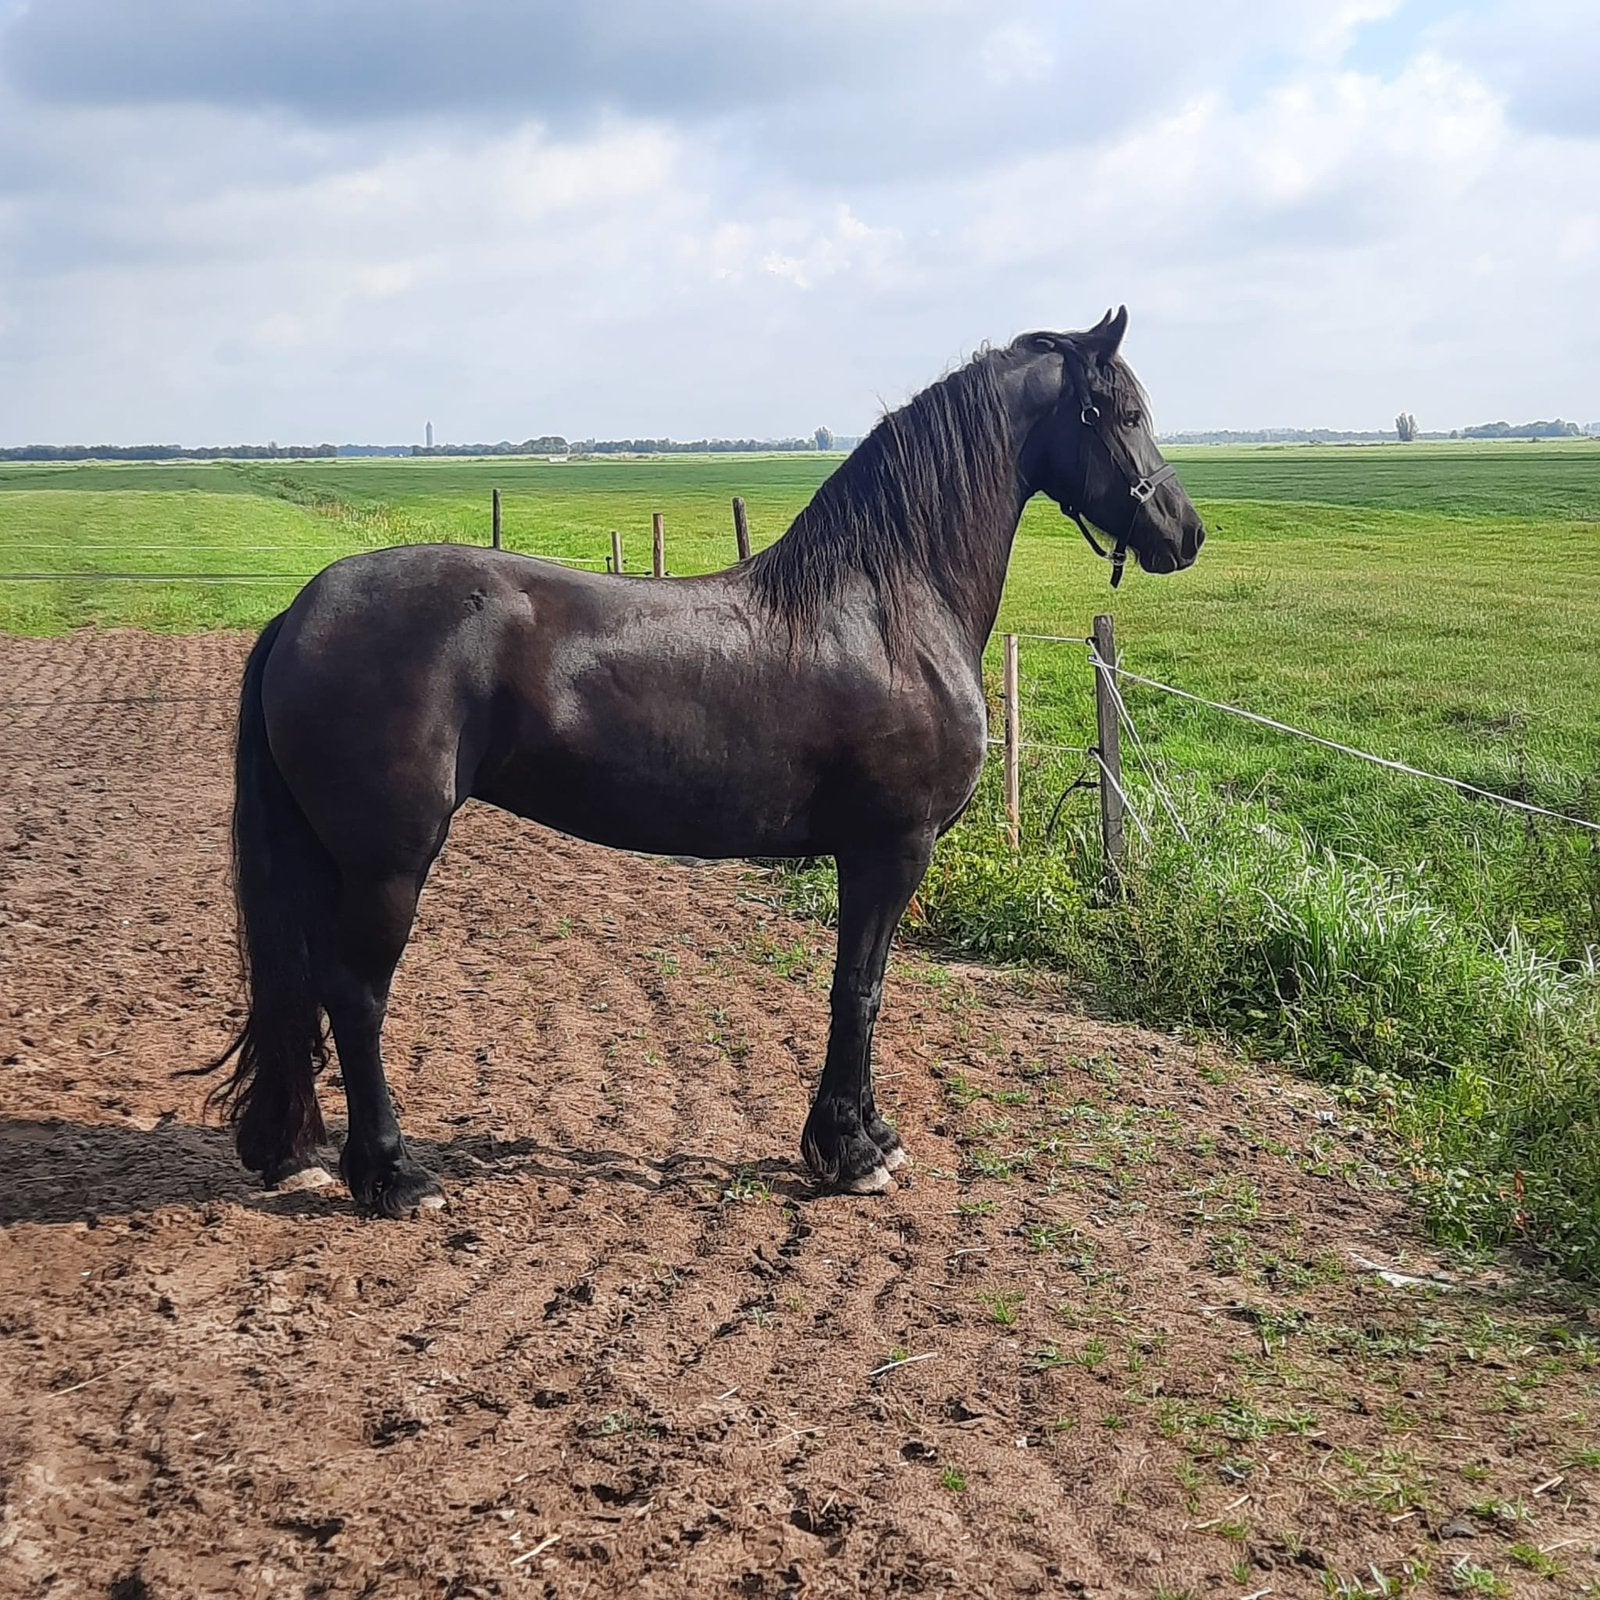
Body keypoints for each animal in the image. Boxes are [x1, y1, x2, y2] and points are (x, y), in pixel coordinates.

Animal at [202, 306, 1205, 1216]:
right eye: (1121, 413)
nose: (1184, 532)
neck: (889, 608)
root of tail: (302, 611)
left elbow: (867, 988)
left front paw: (872, 1135)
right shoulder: (889, 850)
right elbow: (859, 990)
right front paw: (849, 1153)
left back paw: (299, 1151)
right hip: (388, 862)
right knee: (355, 995)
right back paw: (393, 1175)